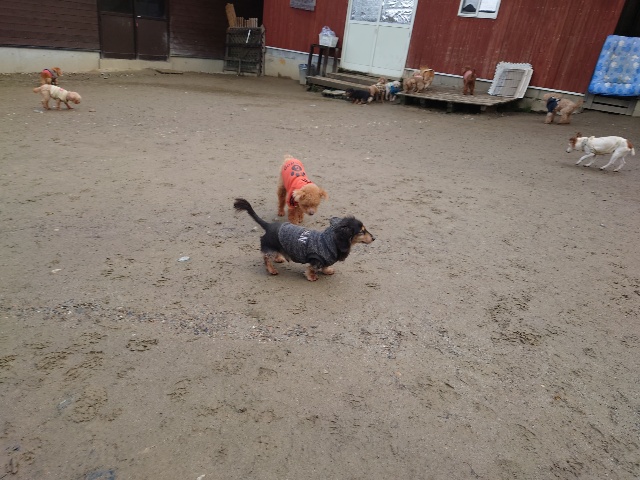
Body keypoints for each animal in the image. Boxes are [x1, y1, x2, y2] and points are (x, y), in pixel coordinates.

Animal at [234, 198, 375, 281]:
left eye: (365, 229)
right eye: (361, 231)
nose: (374, 238)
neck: (330, 240)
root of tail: (268, 225)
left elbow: (325, 266)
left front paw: (327, 271)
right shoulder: (316, 258)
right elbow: (312, 268)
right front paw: (312, 276)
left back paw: (279, 258)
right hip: (270, 247)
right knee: (266, 257)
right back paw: (271, 270)